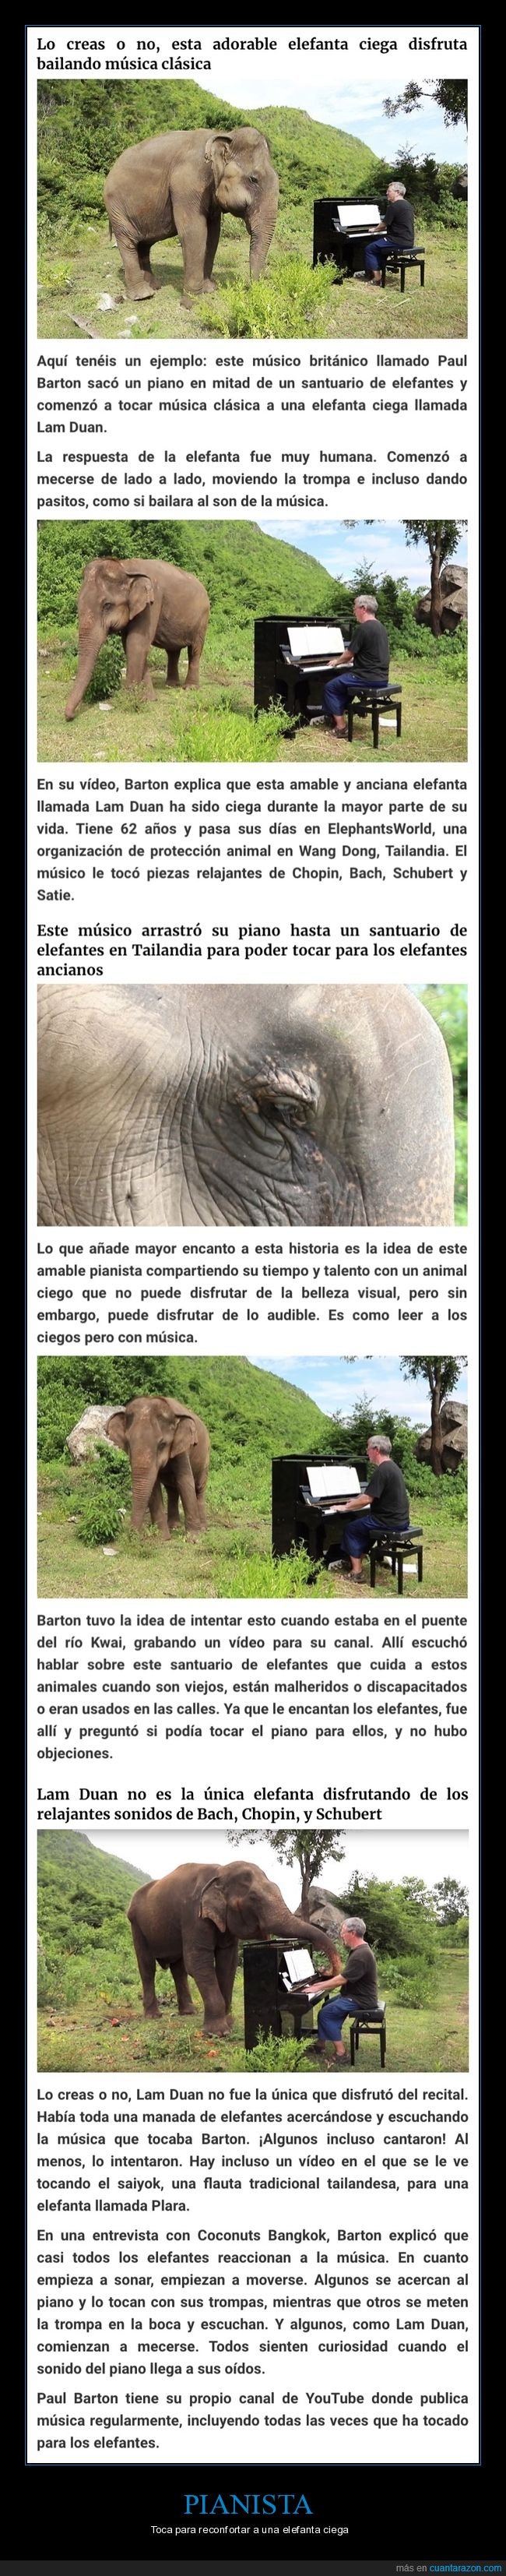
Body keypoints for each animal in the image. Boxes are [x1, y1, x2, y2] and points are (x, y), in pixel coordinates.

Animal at [64, 557, 210, 720]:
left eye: (107, 605)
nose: (70, 716)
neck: (126, 567)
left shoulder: (152, 603)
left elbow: (136, 643)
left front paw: (129, 699)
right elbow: (130, 645)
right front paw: (148, 699)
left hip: (203, 619)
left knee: (195, 650)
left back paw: (190, 688)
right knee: (173, 651)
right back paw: (171, 685)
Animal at [104, 127, 279, 304]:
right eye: (253, 179)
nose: (252, 289)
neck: (224, 135)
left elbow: (213, 235)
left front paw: (209, 289)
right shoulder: (187, 184)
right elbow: (194, 233)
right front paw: (192, 302)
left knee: (144, 244)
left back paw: (154, 287)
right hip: (116, 208)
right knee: (128, 242)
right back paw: (143, 295)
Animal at [106, 1394, 210, 1539]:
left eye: (162, 1444)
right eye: (128, 1443)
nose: (133, 1536)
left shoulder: (182, 1449)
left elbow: (185, 1481)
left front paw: (194, 1539)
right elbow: (154, 1486)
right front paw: (164, 1538)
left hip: (205, 1456)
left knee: (198, 1488)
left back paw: (203, 1529)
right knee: (172, 1490)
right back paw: (174, 1527)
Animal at [127, 1859, 341, 2038]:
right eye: (253, 1898)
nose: (322, 1971)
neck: (219, 1871)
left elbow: (227, 1964)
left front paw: (229, 2025)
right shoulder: (193, 1915)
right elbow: (198, 1963)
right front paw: (218, 2033)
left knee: (178, 1969)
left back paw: (188, 2012)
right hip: (136, 1925)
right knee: (148, 1967)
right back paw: (153, 2016)